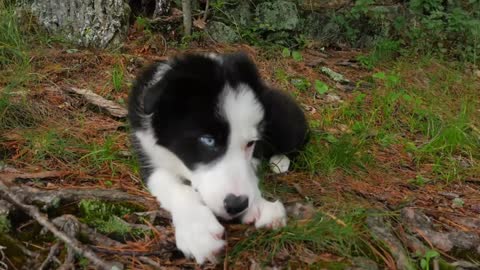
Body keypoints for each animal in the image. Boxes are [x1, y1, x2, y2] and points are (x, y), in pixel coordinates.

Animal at [127, 52, 308, 264]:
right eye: (209, 140)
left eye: (250, 143)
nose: (238, 205)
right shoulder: (147, 154)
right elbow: (175, 186)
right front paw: (198, 231)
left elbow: (249, 172)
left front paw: (259, 205)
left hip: (286, 125)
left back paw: (280, 161)